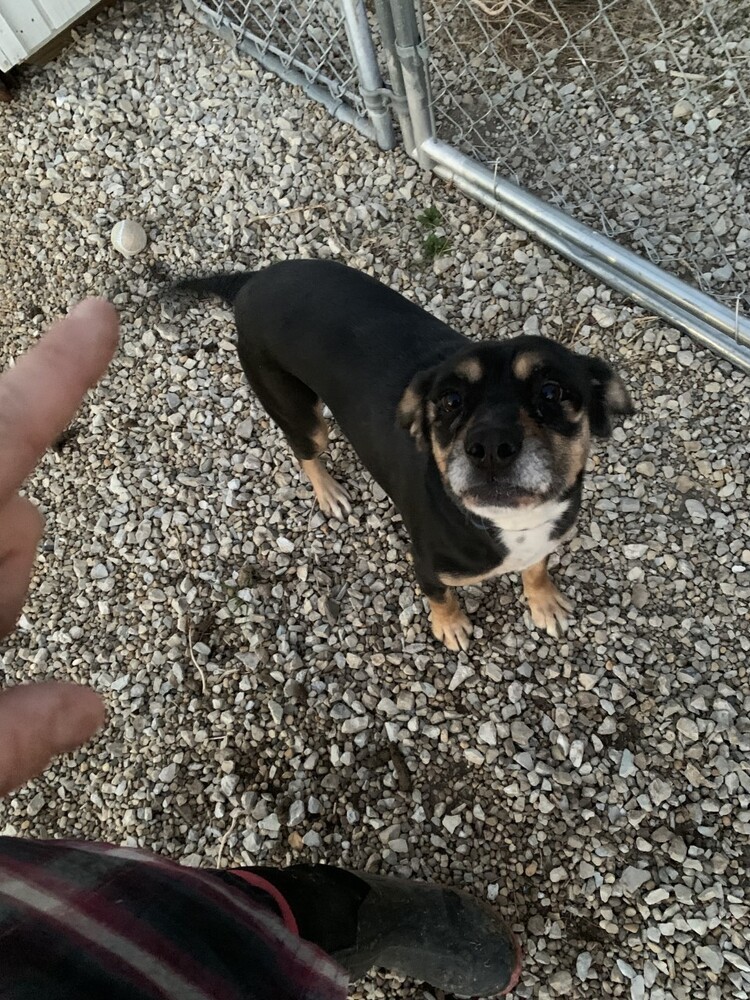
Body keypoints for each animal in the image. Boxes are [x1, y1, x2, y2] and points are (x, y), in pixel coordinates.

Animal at [181, 260, 636, 648]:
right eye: (450, 400)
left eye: (551, 392)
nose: (490, 448)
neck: (511, 523)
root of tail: (252, 280)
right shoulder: (427, 566)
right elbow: (441, 598)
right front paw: (451, 626)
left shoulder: (546, 541)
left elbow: (538, 569)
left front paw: (543, 601)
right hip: (300, 413)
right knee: (305, 449)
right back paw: (330, 492)